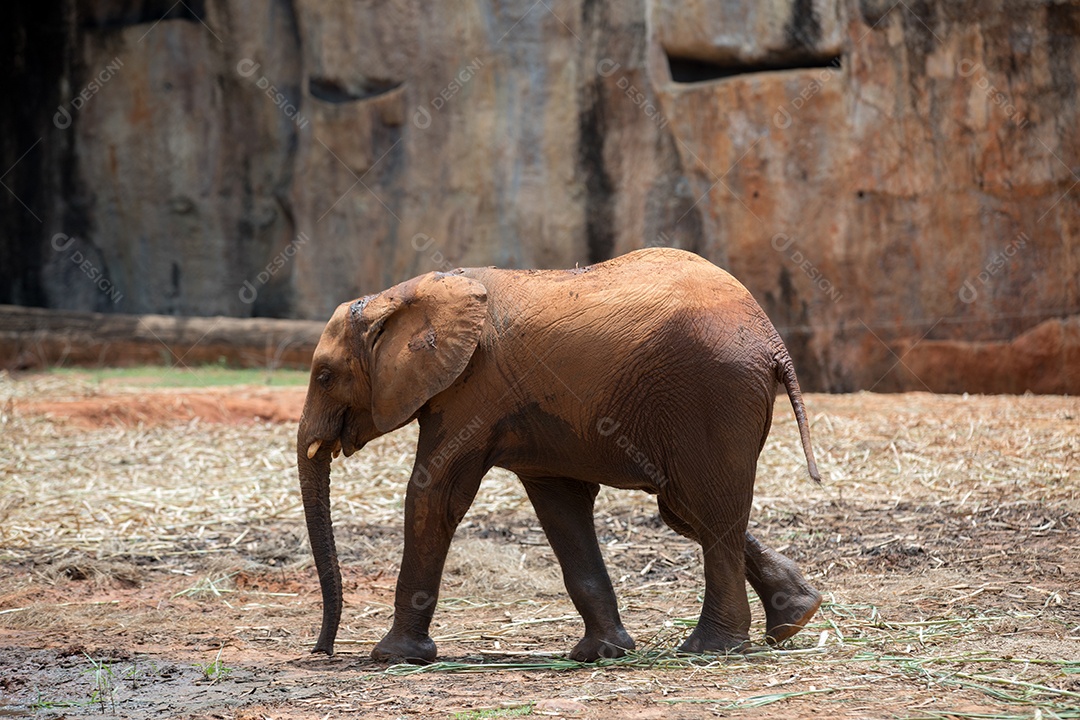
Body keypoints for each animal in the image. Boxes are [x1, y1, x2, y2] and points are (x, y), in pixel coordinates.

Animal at [297, 247, 823, 663]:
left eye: (324, 375)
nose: (322, 650)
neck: (401, 295)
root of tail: (772, 339)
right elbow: (560, 507)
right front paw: (602, 653)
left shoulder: (473, 387)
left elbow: (434, 493)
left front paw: (392, 657)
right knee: (686, 507)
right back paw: (796, 618)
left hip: (710, 394)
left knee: (705, 507)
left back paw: (710, 649)